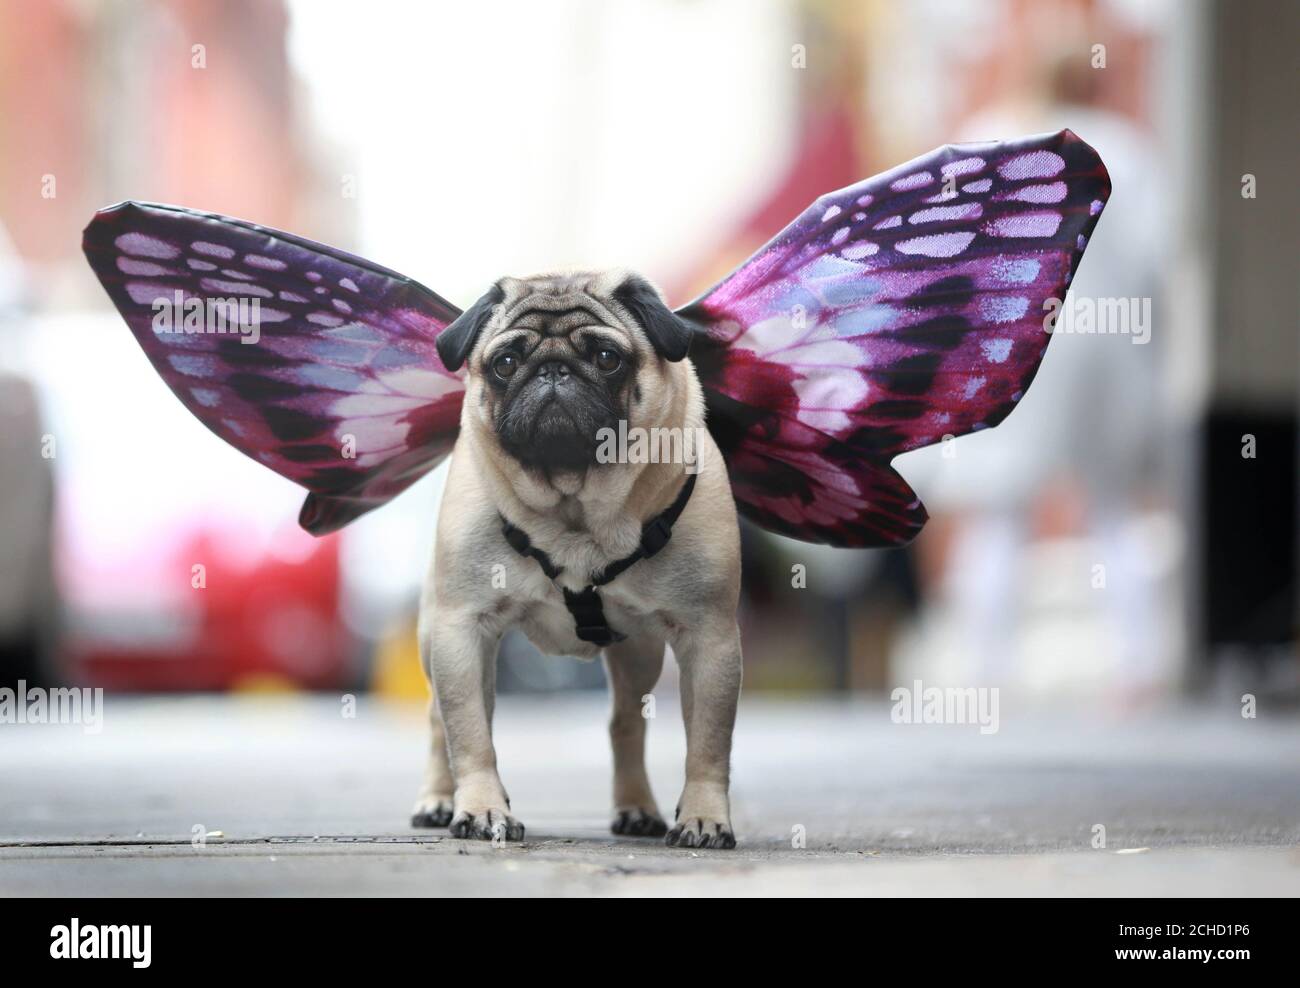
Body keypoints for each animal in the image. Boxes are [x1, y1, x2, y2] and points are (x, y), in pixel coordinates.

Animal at [410, 270, 748, 847]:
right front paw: (481, 809)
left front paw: (705, 817)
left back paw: (636, 808)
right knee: (440, 721)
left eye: (608, 358)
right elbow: (470, 735)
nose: (553, 369)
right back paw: (437, 800)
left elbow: (708, 743)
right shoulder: (463, 629)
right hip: (435, 633)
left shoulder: (711, 638)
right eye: (505, 363)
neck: (575, 511)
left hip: (639, 654)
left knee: (625, 724)